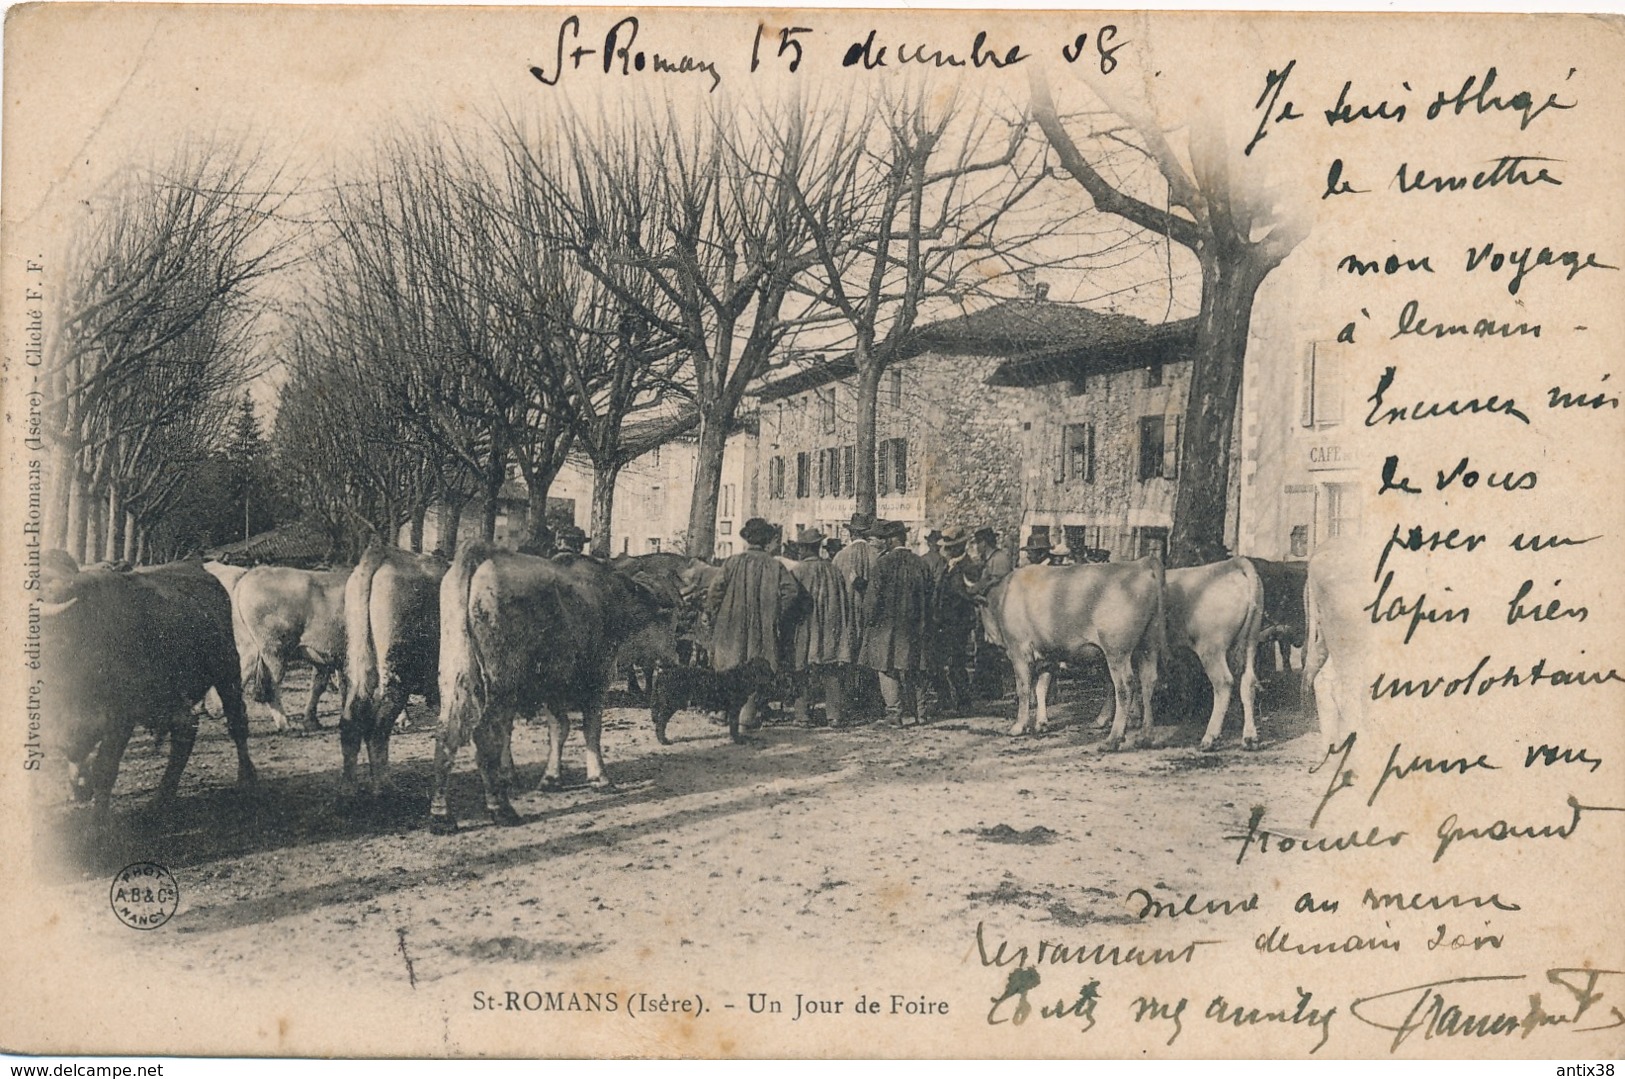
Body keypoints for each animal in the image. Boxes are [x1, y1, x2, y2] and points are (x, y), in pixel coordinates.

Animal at [39, 555, 256, 832]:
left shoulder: (120, 718)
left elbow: (105, 768)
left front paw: (97, 824)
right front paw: (80, 788)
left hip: (227, 669)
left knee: (236, 722)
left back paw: (245, 778)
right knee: (186, 731)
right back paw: (161, 799)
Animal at [339, 549, 448, 793]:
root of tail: (386, 554)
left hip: (361, 669)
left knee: (351, 721)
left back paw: (349, 790)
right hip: (396, 677)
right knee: (378, 728)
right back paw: (384, 788)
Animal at [432, 542, 672, 828]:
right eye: (670, 623)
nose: (673, 658)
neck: (608, 597)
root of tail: (480, 554)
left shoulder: (553, 686)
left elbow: (560, 729)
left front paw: (551, 778)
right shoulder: (596, 680)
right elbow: (591, 730)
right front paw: (599, 777)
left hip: (455, 677)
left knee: (447, 734)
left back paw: (441, 815)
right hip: (501, 685)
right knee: (486, 739)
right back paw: (501, 808)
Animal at [968, 555, 1163, 750]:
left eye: (981, 609)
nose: (985, 637)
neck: (1004, 597)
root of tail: (1141, 564)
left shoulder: (1019, 652)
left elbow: (1023, 689)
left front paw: (1018, 726)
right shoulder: (1048, 656)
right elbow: (1041, 688)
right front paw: (1041, 723)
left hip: (1116, 651)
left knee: (1124, 686)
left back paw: (1113, 739)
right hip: (1148, 645)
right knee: (1148, 681)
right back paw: (1145, 736)